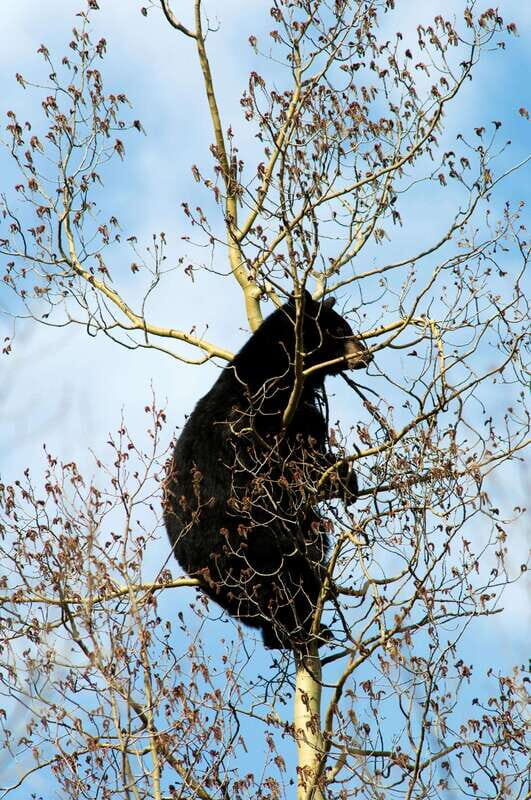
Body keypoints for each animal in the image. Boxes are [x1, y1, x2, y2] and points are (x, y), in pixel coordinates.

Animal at [163, 291, 372, 651]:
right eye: (340, 331)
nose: (365, 354)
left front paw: (344, 478)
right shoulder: (264, 412)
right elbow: (296, 458)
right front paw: (342, 475)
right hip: (250, 540)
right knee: (283, 575)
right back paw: (303, 622)